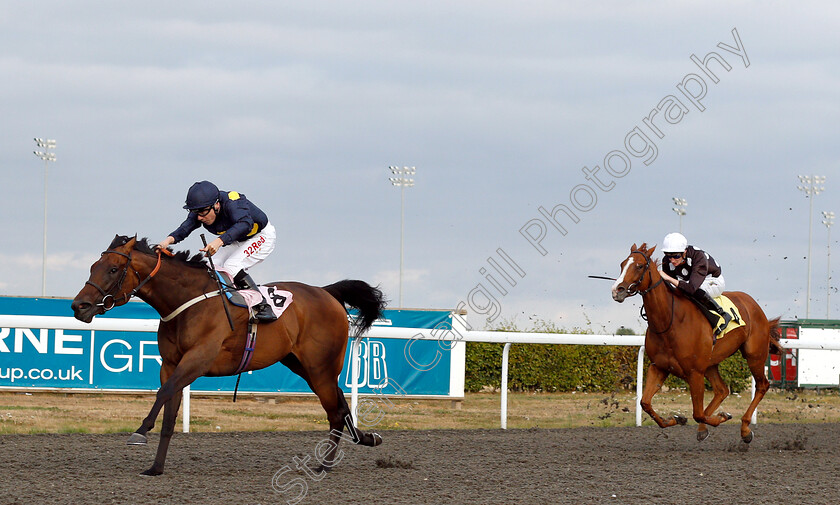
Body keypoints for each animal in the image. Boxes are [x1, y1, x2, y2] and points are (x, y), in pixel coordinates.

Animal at [72, 234, 388, 474]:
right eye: (93, 266)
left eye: (113, 269)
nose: (79, 306)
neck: (187, 301)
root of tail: (327, 292)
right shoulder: (171, 364)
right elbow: (170, 414)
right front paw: (156, 467)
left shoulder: (198, 360)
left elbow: (163, 393)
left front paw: (139, 432)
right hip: (303, 366)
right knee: (341, 404)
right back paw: (365, 438)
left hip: (321, 367)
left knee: (335, 412)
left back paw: (324, 465)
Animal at [612, 243, 780, 440]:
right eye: (622, 264)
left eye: (639, 266)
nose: (617, 290)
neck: (669, 321)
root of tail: (754, 305)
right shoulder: (659, 366)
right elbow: (645, 402)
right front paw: (677, 418)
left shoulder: (695, 372)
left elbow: (697, 413)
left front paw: (720, 417)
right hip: (710, 363)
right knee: (722, 390)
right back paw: (704, 427)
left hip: (754, 355)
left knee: (762, 385)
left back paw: (745, 428)